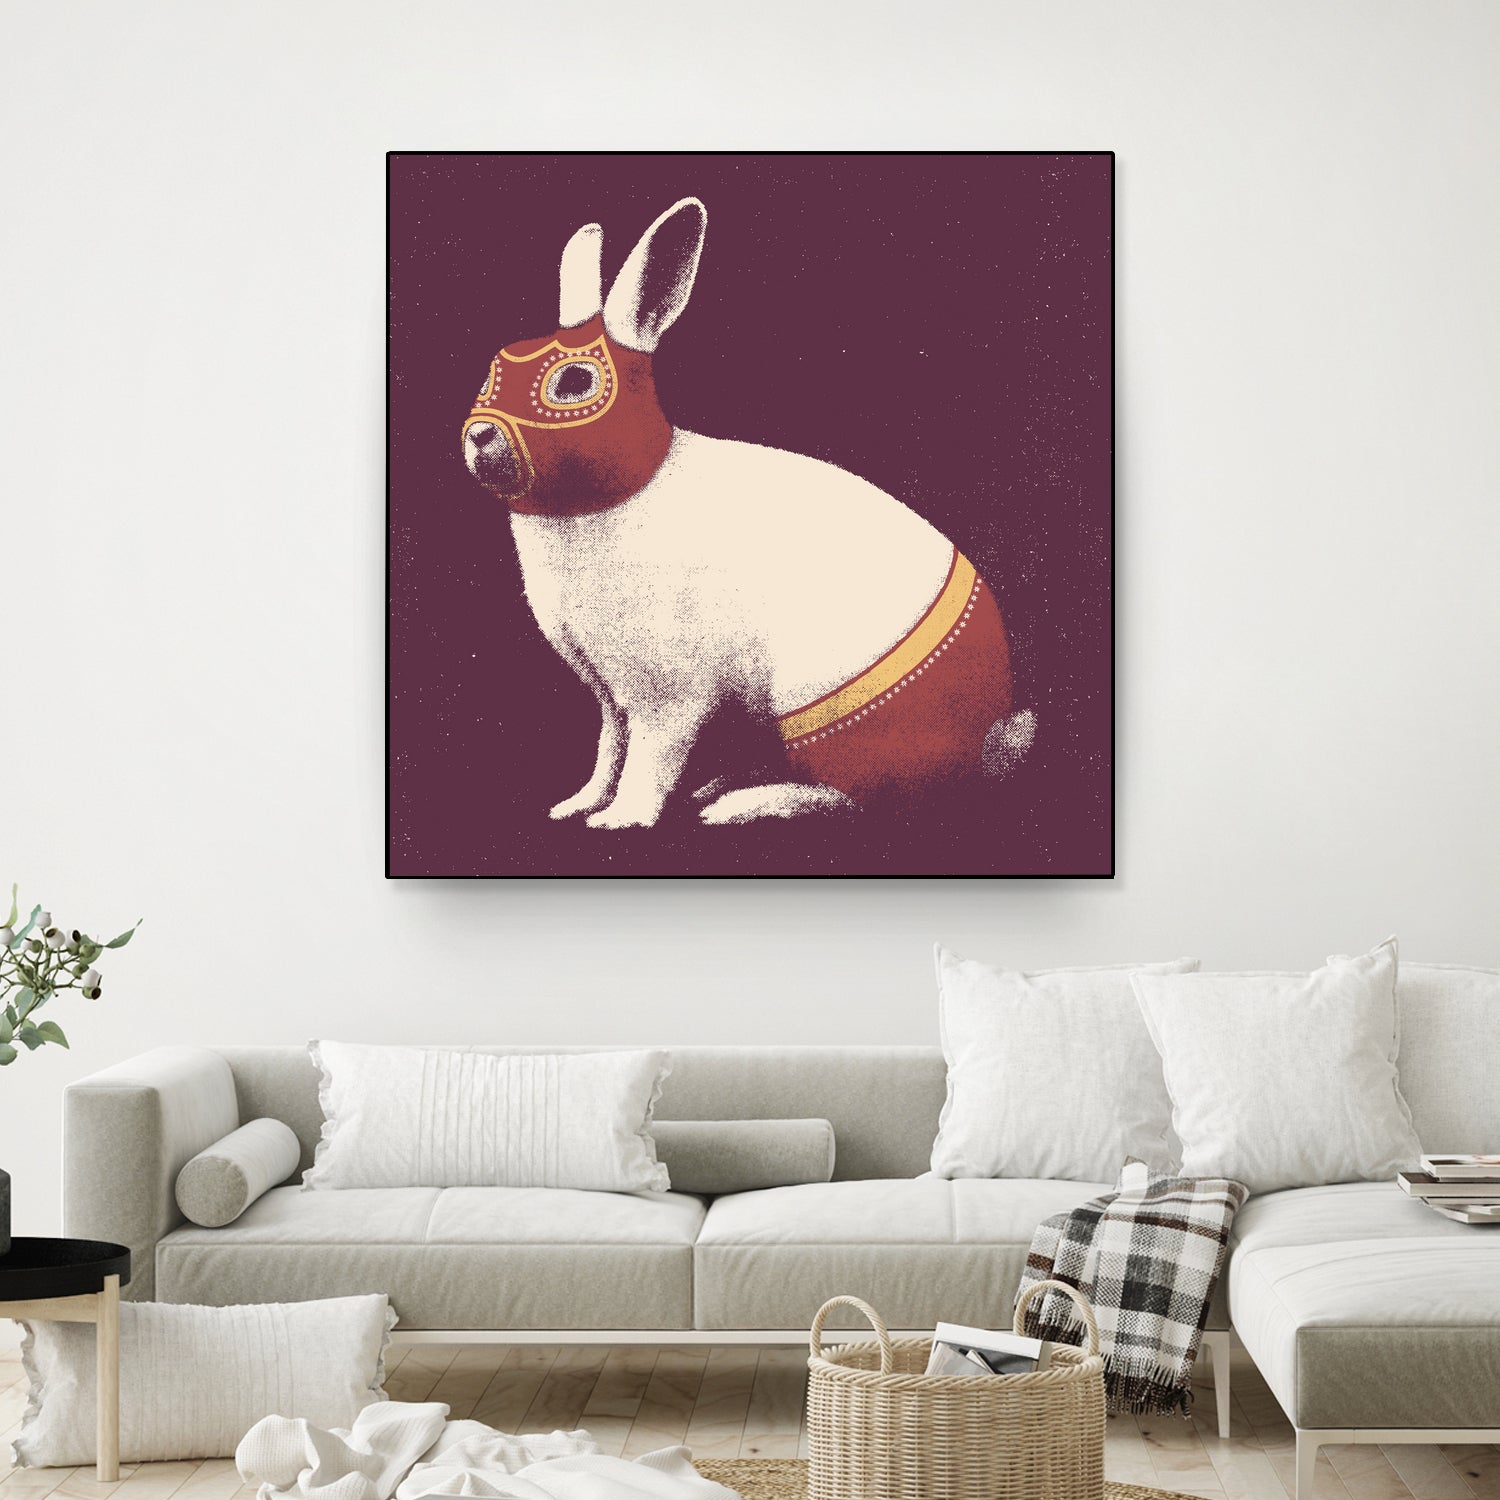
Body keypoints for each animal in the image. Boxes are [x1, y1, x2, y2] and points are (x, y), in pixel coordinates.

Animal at [460, 197, 1032, 829]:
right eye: (494, 369)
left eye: (575, 382)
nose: (479, 435)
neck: (624, 489)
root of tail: (985, 738)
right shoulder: (609, 693)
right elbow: (610, 747)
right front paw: (577, 804)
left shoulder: (667, 695)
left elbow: (649, 757)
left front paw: (622, 819)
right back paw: (717, 788)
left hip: (821, 712)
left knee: (850, 795)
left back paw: (739, 805)